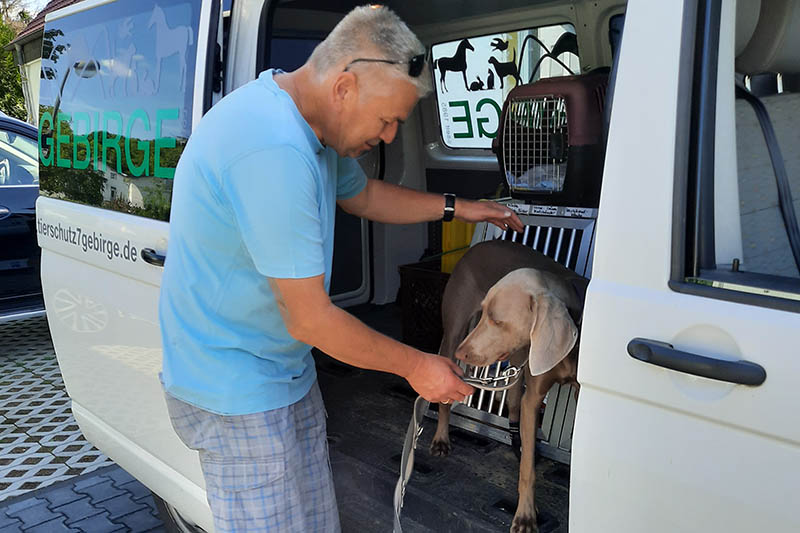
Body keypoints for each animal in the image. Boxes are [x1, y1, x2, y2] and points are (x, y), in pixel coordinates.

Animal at [432, 238, 588, 532]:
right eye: (485, 313)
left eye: (497, 320)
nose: (462, 354)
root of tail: (479, 245)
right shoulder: (534, 395)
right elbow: (528, 470)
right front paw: (525, 515)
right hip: (455, 330)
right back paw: (441, 439)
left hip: (517, 351)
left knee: (515, 401)